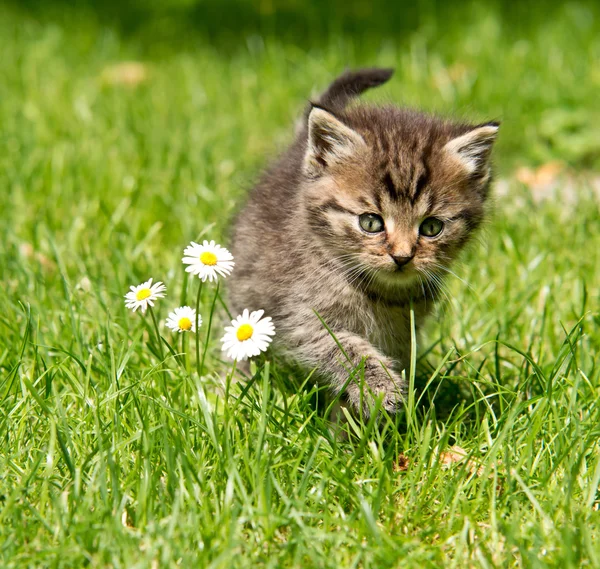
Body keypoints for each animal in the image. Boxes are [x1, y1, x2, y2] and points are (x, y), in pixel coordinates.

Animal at [227, 67, 500, 418]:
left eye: (432, 227)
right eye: (371, 222)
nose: (402, 256)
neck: (380, 293)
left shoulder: (404, 331)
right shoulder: (299, 318)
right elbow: (343, 348)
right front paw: (380, 388)